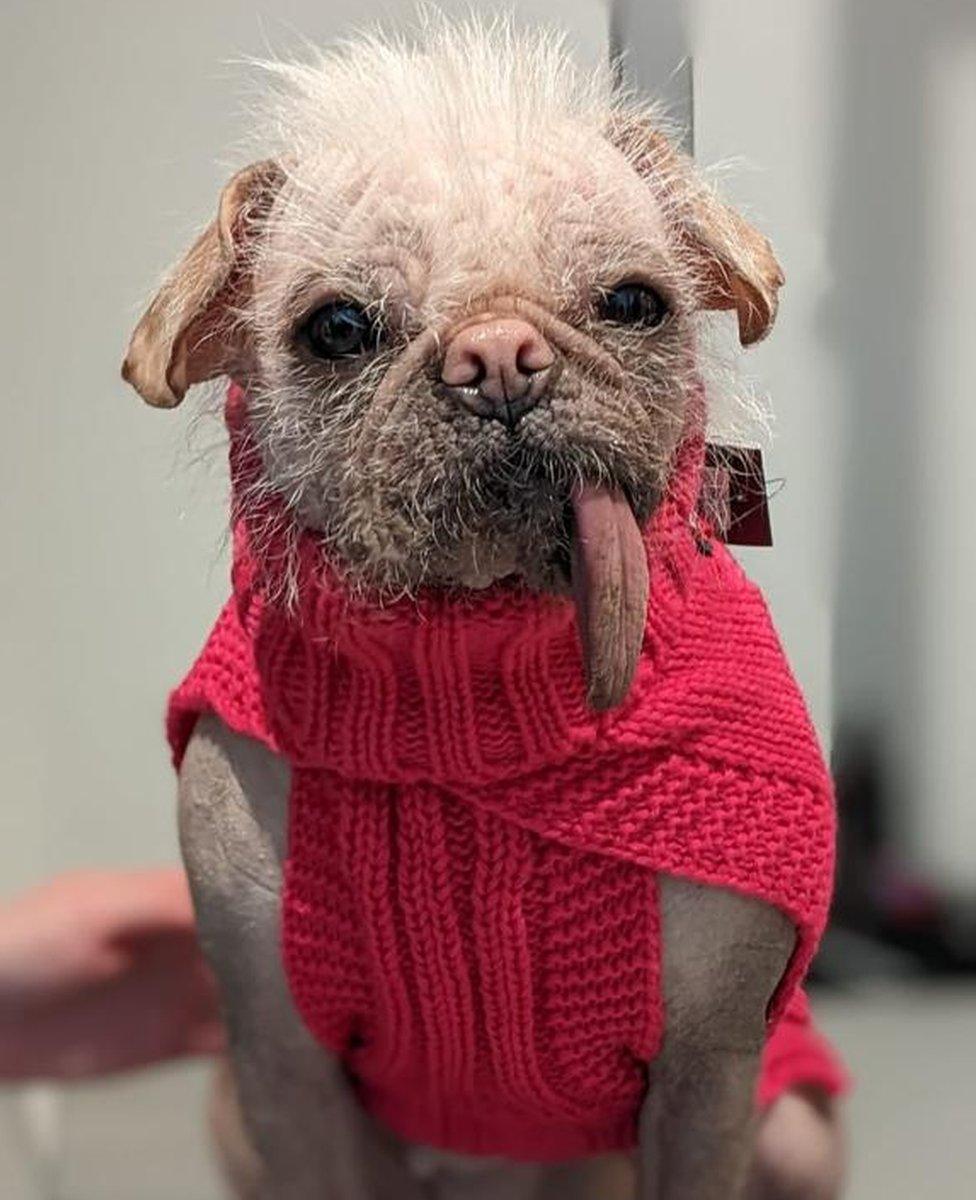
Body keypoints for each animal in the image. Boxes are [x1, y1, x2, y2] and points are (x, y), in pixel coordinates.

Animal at [123, 18, 845, 1200]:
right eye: (338, 327)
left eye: (634, 303)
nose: (499, 354)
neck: (469, 695)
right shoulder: (284, 1072)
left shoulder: (711, 1076)